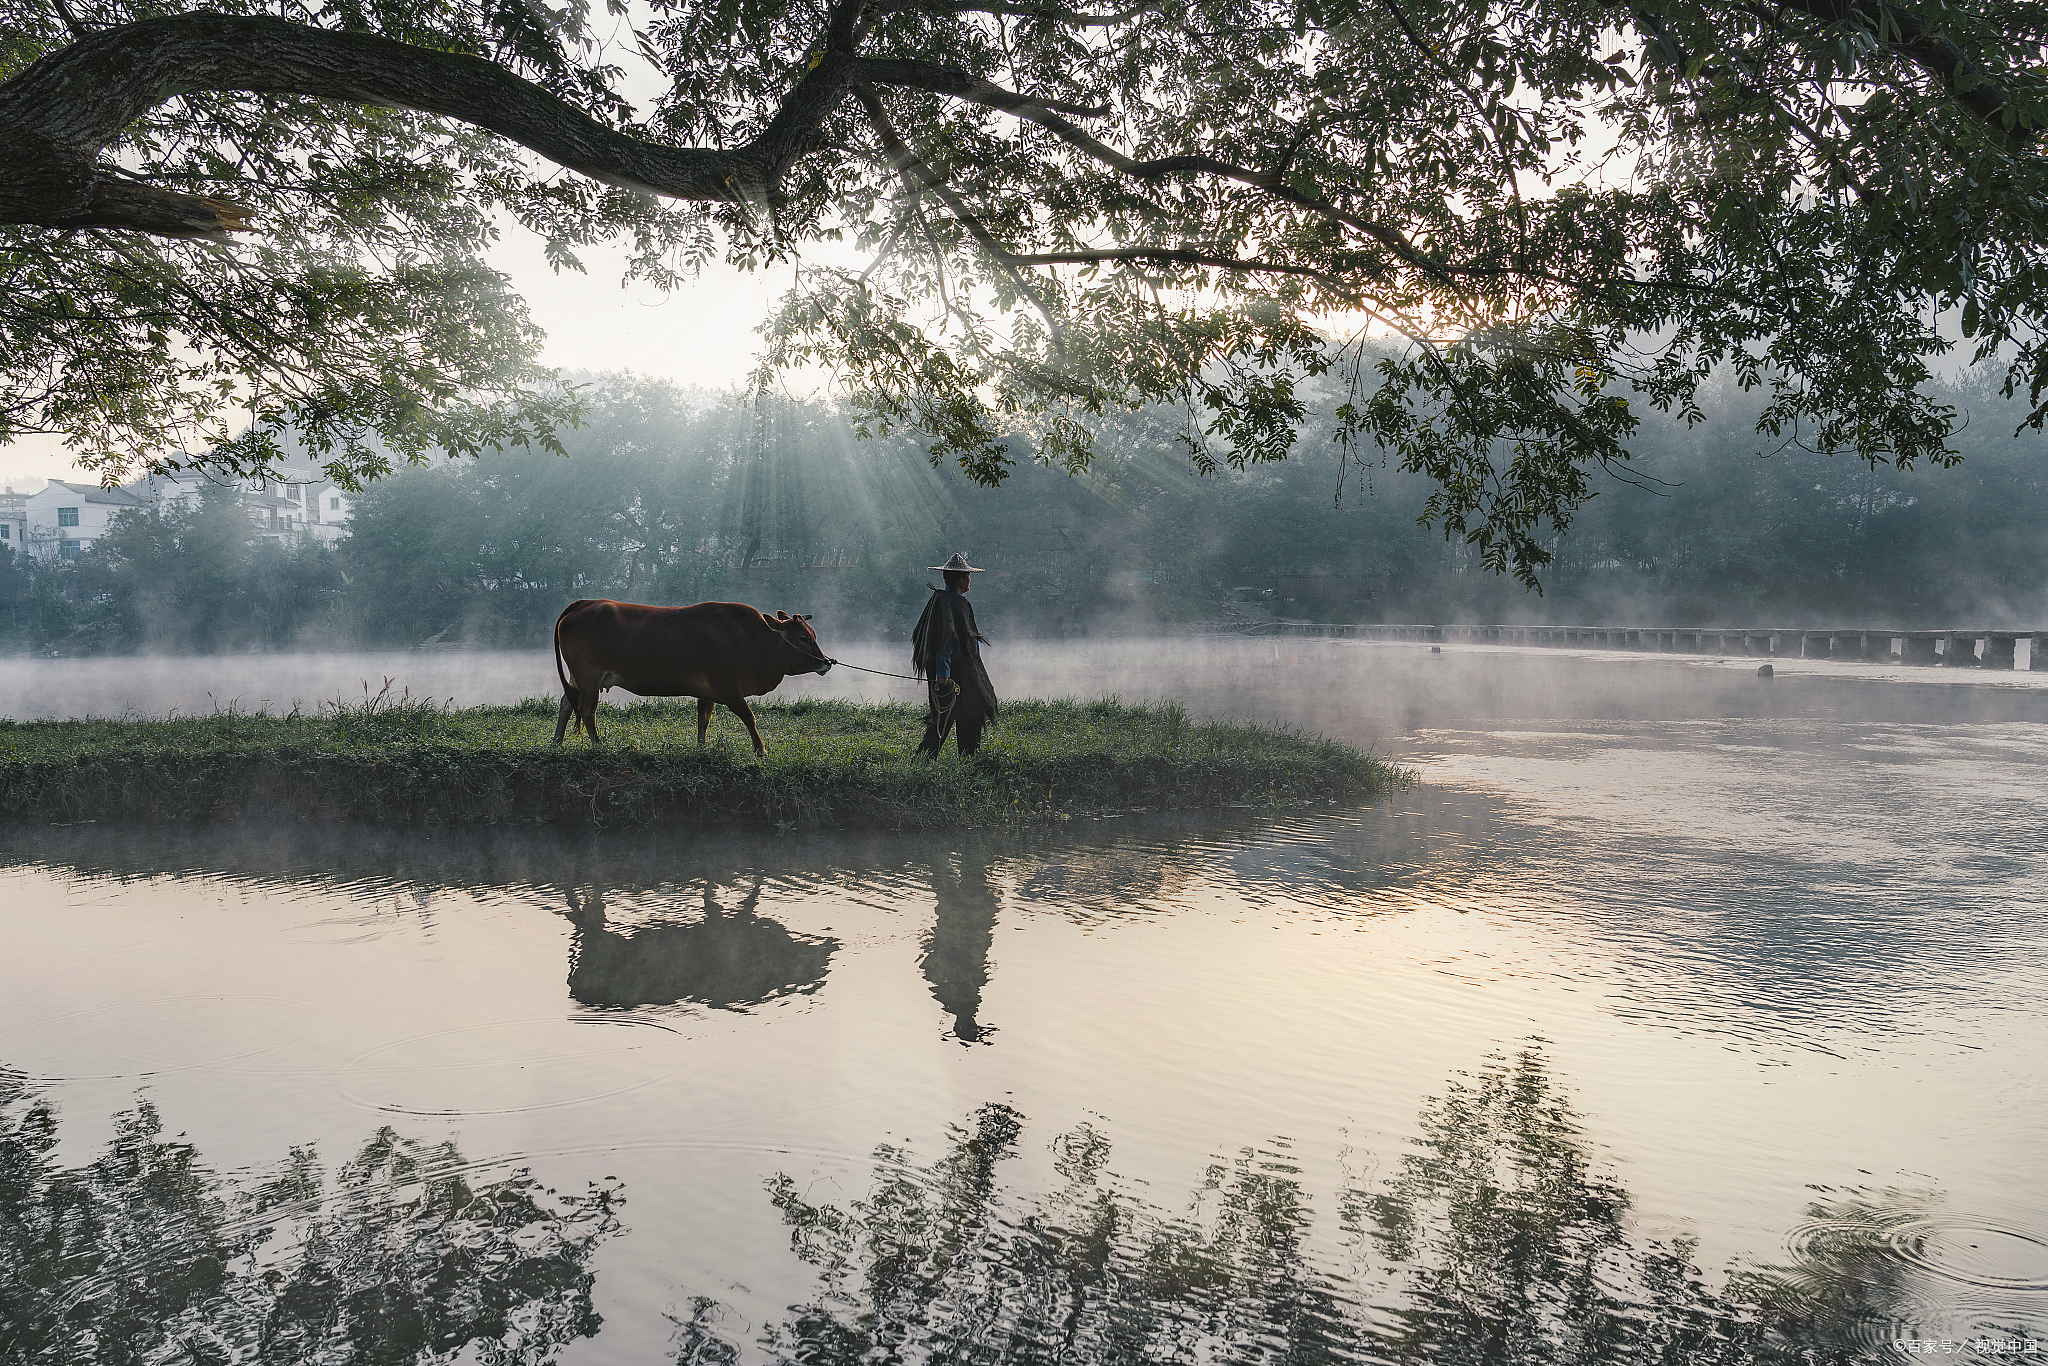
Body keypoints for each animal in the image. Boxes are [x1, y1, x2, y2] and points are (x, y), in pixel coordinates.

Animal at [552, 593, 831, 749]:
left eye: (813, 635)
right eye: (803, 638)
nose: (827, 662)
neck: (750, 639)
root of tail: (583, 604)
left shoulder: (707, 693)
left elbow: (703, 720)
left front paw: (701, 747)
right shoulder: (729, 690)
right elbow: (749, 717)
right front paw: (760, 749)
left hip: (577, 677)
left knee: (566, 704)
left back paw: (557, 741)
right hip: (589, 677)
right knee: (587, 711)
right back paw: (597, 745)